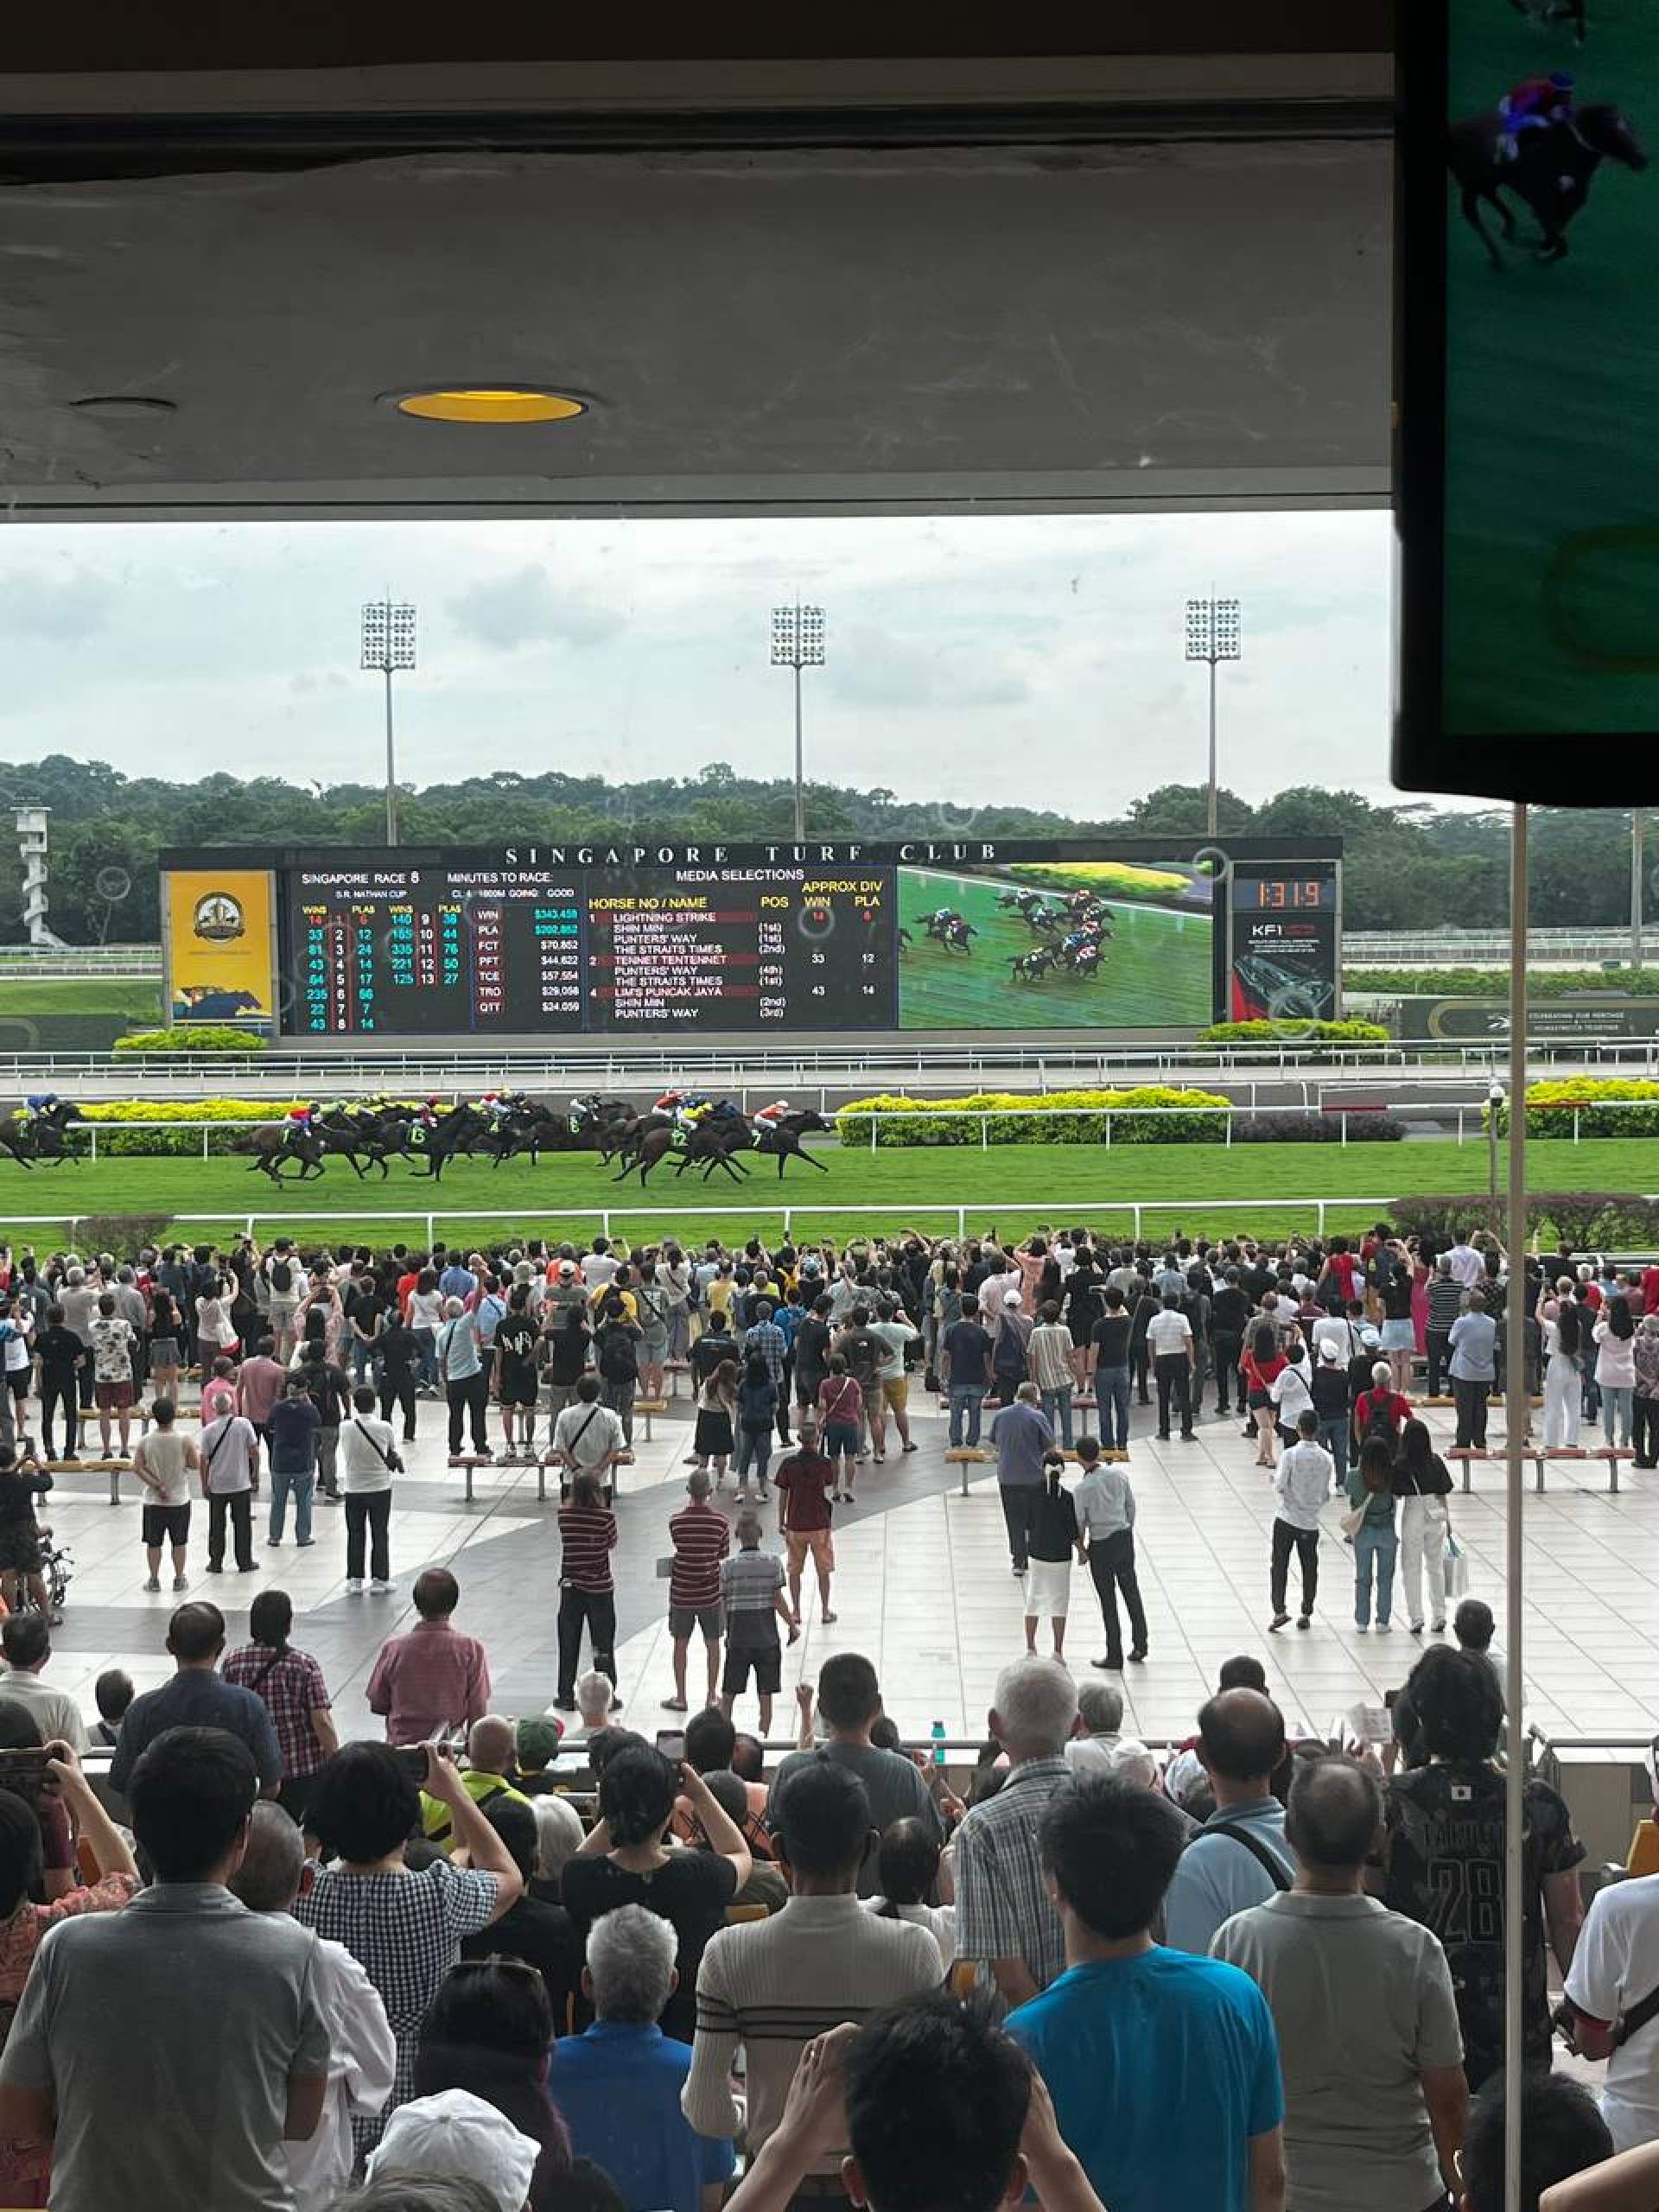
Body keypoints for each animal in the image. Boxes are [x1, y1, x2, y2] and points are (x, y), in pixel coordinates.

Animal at [1451, 102, 1654, 270]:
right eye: (1613, 130)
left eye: (1631, 127)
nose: (1642, 159)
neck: (1562, 162)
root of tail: (1455, 128)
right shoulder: (1543, 209)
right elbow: (1560, 245)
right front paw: (1534, 250)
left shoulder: (1566, 212)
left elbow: (1553, 241)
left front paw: (1536, 250)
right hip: (1470, 183)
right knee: (1472, 214)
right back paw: (1498, 257)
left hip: (1487, 181)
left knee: (1491, 197)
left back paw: (1509, 229)